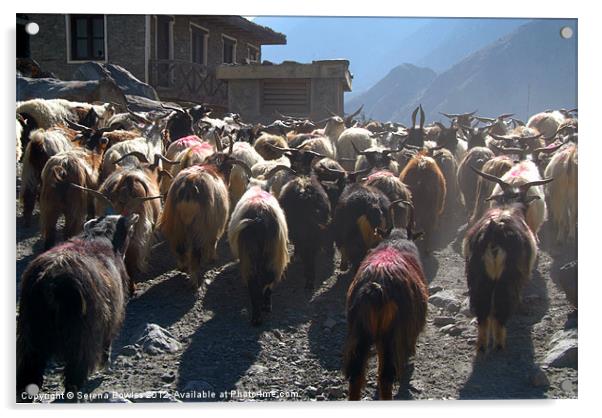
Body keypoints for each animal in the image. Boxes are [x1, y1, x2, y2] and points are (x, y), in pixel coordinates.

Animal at [16, 214, 139, 400]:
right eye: (130, 231)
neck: (100, 236)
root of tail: (50, 282)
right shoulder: (112, 316)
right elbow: (107, 343)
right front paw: (106, 365)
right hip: (80, 338)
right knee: (74, 376)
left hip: (31, 337)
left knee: (29, 376)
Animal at [227, 186, 288, 326]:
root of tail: (259, 215)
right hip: (273, 253)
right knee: (268, 278)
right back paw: (263, 309)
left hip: (250, 254)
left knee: (255, 282)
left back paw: (257, 316)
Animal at [342, 204, 426, 400]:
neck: (395, 241)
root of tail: (376, 287)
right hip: (390, 336)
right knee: (385, 376)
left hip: (361, 333)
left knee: (357, 374)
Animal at [464, 167, 548, 352]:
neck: (509, 206)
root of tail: (495, 229)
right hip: (508, 277)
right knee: (501, 310)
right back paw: (500, 345)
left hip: (478, 276)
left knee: (483, 310)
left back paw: (483, 346)